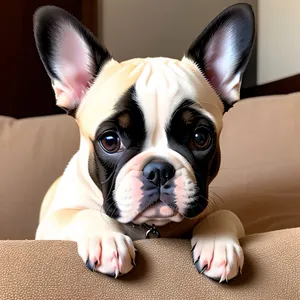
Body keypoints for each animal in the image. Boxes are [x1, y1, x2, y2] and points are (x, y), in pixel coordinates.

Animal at [34, 3, 255, 282]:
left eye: (200, 138)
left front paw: (217, 243)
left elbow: (225, 213)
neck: (149, 228)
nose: (158, 170)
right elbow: (81, 213)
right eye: (110, 141)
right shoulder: (51, 223)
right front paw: (107, 239)